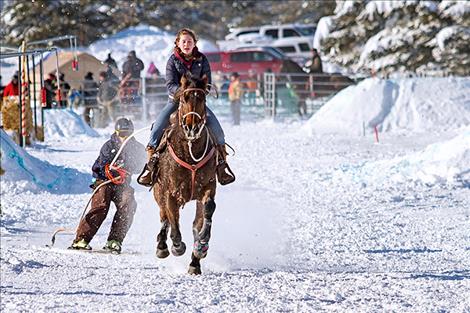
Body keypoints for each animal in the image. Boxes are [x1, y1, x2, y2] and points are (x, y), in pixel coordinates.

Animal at [152, 73, 218, 272]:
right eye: (184, 98)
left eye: (203, 98)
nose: (192, 128)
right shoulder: (169, 191)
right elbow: (172, 217)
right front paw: (176, 245)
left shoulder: (208, 185)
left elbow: (208, 209)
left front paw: (202, 244)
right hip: (157, 192)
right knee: (164, 215)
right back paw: (162, 246)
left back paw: (195, 261)